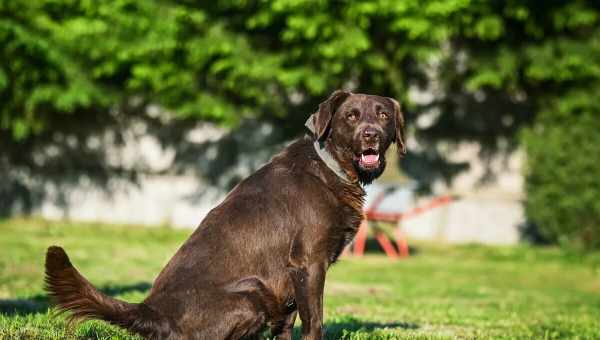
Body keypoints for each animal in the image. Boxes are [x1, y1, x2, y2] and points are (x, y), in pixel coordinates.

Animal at [44, 90, 406, 340]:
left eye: (383, 115)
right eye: (352, 116)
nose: (371, 135)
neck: (330, 167)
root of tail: (152, 313)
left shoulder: (288, 279)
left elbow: (287, 325)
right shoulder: (309, 263)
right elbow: (314, 321)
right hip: (251, 295)